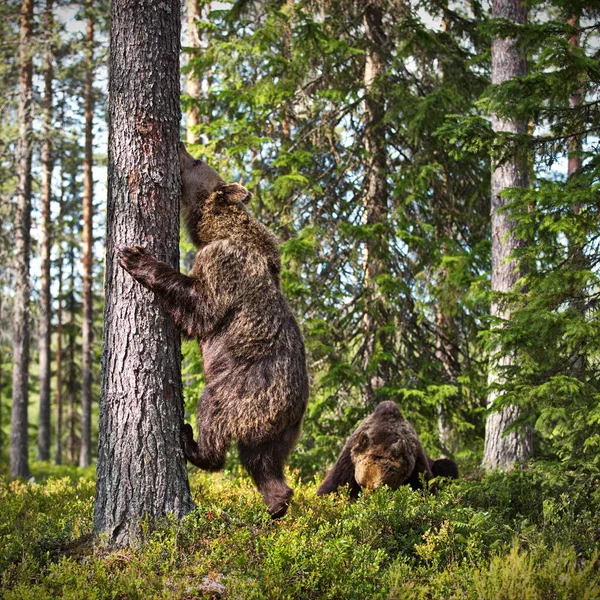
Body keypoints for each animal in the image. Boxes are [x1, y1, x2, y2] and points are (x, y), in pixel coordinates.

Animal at [120, 145, 310, 520]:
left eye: (195, 162)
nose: (181, 146)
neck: (216, 230)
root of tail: (294, 408)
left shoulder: (224, 264)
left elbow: (200, 307)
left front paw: (136, 257)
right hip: (280, 430)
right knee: (263, 460)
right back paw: (277, 502)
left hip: (243, 390)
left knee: (214, 412)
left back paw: (192, 442)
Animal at [318, 404, 460, 496]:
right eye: (361, 484)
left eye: (378, 488)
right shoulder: (349, 462)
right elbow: (332, 488)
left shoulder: (416, 466)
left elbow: (425, 489)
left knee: (447, 466)